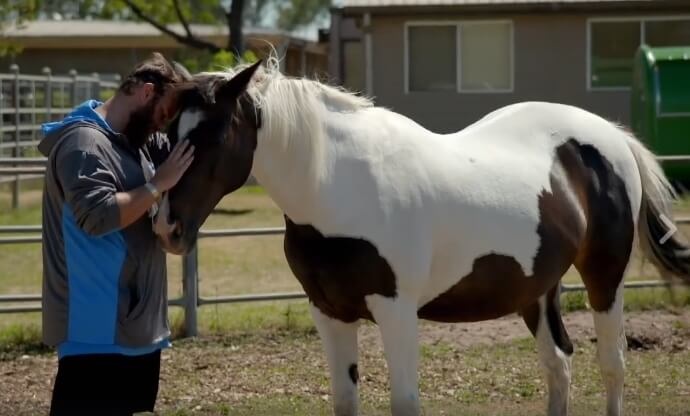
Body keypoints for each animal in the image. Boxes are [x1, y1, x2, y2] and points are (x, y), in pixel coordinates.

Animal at [152, 57, 690, 416]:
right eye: (167, 134)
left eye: (212, 135)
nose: (165, 226)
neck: (338, 185)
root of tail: (614, 137)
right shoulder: (328, 312)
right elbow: (345, 399)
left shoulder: (397, 310)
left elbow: (405, 402)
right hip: (537, 289)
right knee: (558, 365)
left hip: (605, 277)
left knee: (611, 363)